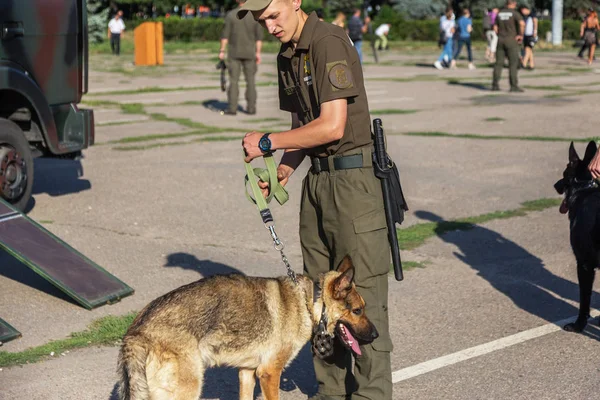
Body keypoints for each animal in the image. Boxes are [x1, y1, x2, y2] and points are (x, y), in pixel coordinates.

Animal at [117, 256, 378, 400]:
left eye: (364, 308)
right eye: (357, 311)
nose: (375, 335)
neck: (308, 301)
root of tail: (136, 331)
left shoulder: (247, 372)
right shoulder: (269, 373)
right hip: (188, 390)